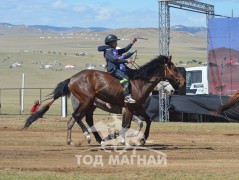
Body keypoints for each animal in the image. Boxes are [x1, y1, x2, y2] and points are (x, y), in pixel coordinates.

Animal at [23, 54, 185, 145]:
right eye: (174, 69)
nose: (180, 83)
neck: (139, 83)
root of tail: (71, 79)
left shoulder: (137, 108)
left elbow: (147, 121)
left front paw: (142, 139)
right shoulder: (128, 109)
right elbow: (127, 125)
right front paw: (117, 138)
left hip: (90, 105)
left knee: (82, 119)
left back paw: (91, 139)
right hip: (86, 101)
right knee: (76, 117)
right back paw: (88, 136)